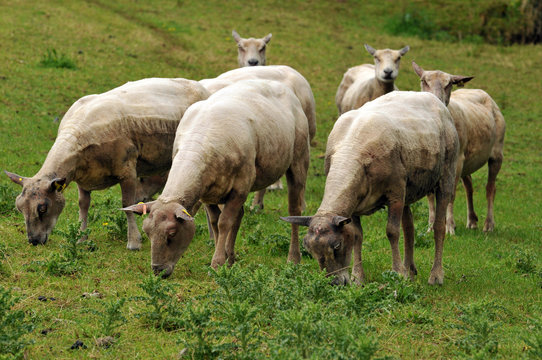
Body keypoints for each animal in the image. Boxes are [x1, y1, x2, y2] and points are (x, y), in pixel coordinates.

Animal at [5, 77, 210, 249]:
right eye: (19, 207)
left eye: (42, 208)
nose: (33, 241)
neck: (78, 136)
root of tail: (199, 85)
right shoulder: (82, 178)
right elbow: (83, 205)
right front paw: (81, 238)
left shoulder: (127, 170)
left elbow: (127, 203)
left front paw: (133, 242)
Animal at [123, 79, 310, 278]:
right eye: (147, 232)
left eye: (172, 233)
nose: (158, 271)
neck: (200, 142)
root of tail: (274, 83)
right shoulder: (207, 192)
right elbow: (215, 221)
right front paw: (223, 259)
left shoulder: (240, 187)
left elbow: (223, 223)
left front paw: (217, 263)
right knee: (239, 215)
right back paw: (231, 257)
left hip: (299, 159)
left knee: (294, 210)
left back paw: (293, 258)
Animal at [282, 90, 462, 286]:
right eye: (309, 250)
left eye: (337, 246)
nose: (335, 283)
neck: (349, 151)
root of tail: (428, 95)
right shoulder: (354, 202)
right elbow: (357, 236)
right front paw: (358, 277)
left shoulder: (395, 193)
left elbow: (392, 232)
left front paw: (397, 273)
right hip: (408, 188)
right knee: (409, 228)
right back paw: (410, 271)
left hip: (446, 174)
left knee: (438, 226)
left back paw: (435, 275)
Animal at [414, 62, 508, 233]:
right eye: (423, 81)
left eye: (449, 84)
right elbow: (430, 196)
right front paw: (431, 227)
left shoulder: (456, 160)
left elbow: (450, 194)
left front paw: (449, 227)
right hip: (467, 160)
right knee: (469, 187)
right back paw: (472, 221)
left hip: (496, 154)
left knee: (490, 188)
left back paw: (488, 225)